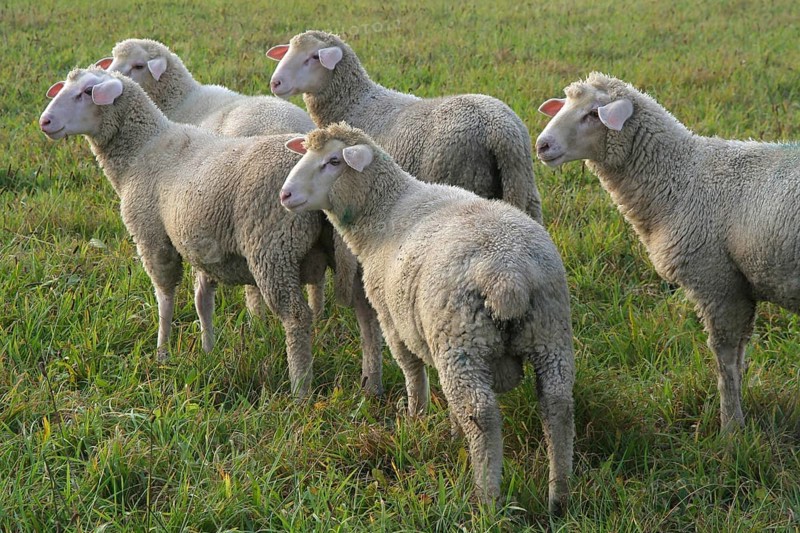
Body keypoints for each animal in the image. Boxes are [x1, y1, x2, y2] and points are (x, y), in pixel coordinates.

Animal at [39, 67, 331, 396]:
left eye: (87, 92)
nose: (45, 122)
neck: (142, 148)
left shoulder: (152, 237)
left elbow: (165, 299)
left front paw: (162, 354)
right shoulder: (202, 243)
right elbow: (202, 302)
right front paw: (208, 350)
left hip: (273, 248)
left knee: (296, 316)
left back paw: (300, 388)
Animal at [267, 30, 544, 224]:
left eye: (314, 57)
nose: (275, 83)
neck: (356, 102)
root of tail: (500, 131)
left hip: (466, 176)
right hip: (523, 184)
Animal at [279, 122, 575, 515]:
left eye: (332, 162)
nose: (285, 194)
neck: (385, 212)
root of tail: (509, 275)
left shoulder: (392, 320)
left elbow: (412, 372)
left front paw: (414, 419)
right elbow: (448, 401)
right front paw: (452, 433)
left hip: (462, 340)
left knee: (481, 414)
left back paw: (486, 499)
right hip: (549, 331)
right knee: (557, 406)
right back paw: (559, 497)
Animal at [535, 71, 800, 430]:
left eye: (592, 113)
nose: (542, 145)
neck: (681, 178)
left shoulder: (718, 282)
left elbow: (726, 360)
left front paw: (731, 427)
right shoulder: (739, 288)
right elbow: (740, 356)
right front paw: (737, 418)